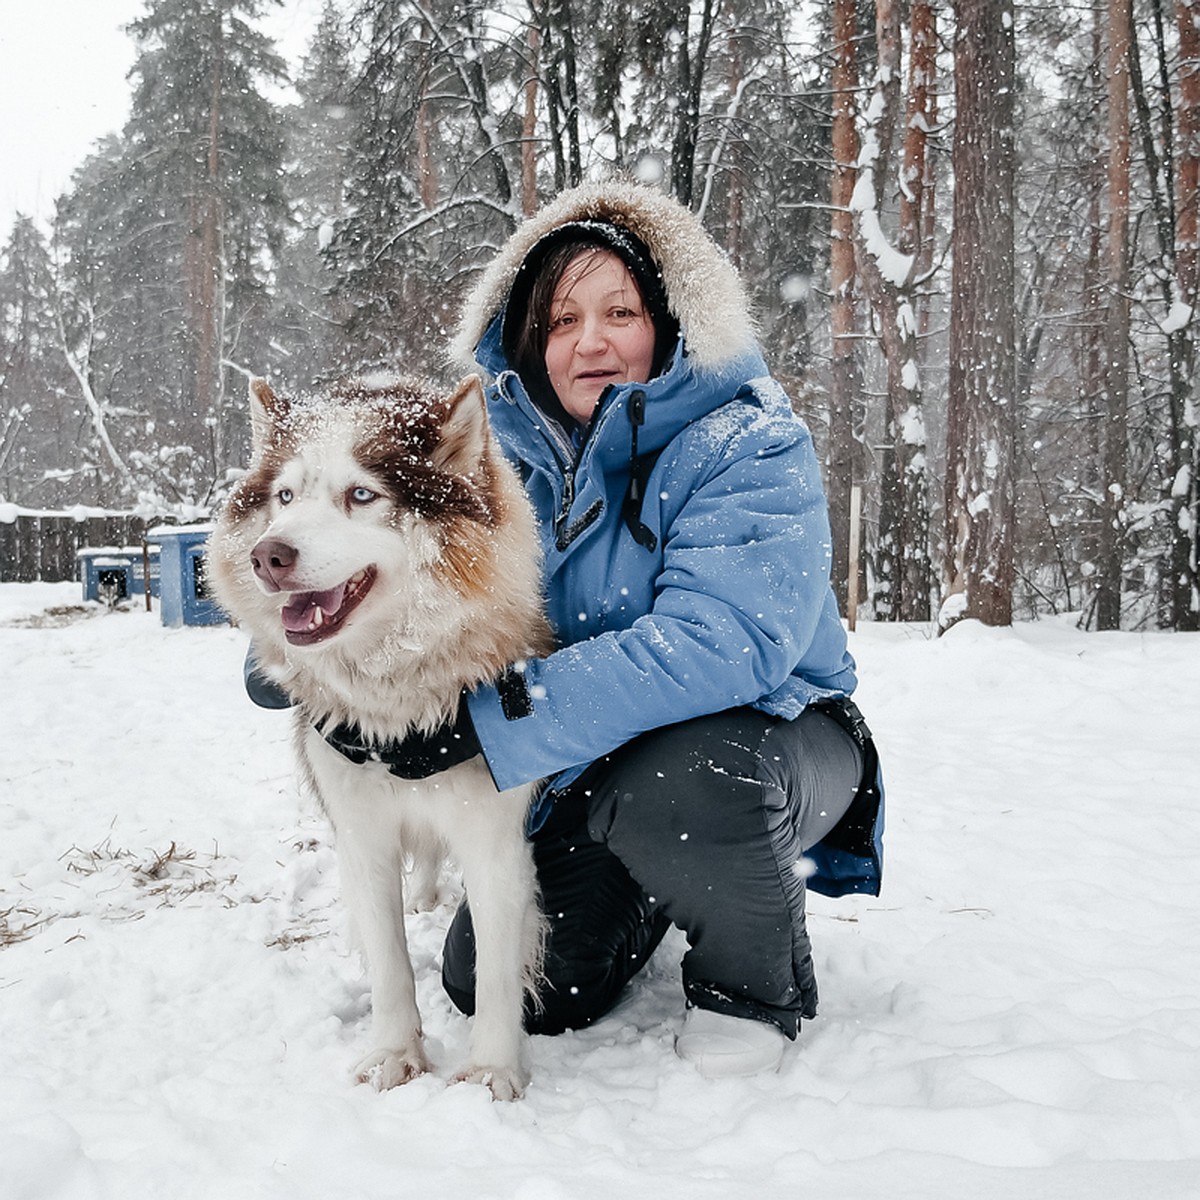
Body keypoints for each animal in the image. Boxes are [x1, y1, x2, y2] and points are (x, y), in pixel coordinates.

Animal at [210, 372, 552, 1099]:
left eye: (361, 495)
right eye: (285, 497)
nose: (267, 555)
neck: (398, 708)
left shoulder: (494, 842)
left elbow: (494, 971)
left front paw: (491, 1071)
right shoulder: (362, 837)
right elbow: (391, 965)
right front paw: (396, 1054)